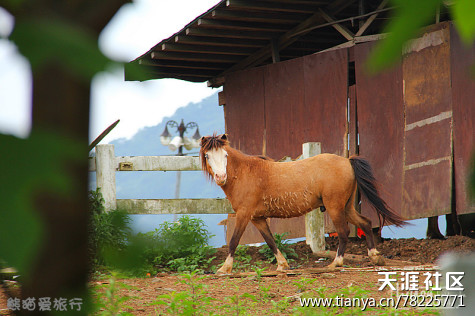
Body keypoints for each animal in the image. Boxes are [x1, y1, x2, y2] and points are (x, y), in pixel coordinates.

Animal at [199, 133, 408, 274]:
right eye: (208, 156)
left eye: (225, 156)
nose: (221, 177)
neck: (245, 173)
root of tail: (347, 160)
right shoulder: (258, 218)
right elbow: (270, 241)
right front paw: (282, 265)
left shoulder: (244, 214)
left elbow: (234, 241)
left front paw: (224, 269)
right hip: (347, 207)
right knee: (365, 222)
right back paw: (375, 257)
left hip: (334, 207)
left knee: (344, 232)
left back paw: (336, 263)